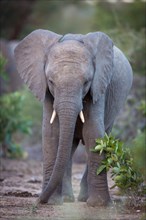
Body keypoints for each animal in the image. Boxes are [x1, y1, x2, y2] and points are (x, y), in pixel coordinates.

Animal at [14, 29, 133, 206]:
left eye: (86, 82)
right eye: (51, 81)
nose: (38, 201)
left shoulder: (99, 86)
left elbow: (93, 133)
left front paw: (99, 205)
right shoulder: (46, 91)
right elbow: (51, 133)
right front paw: (53, 202)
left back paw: (83, 199)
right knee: (69, 148)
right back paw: (67, 199)